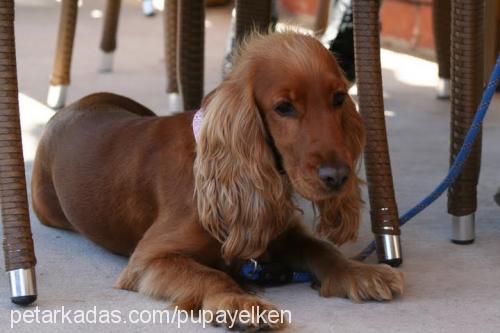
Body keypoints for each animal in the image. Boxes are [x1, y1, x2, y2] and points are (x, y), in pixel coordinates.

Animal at [32, 31, 402, 330]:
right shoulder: (149, 260)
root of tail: (69, 108)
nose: (337, 177)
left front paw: (360, 272)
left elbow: (322, 249)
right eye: (283, 107)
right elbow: (211, 275)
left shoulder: (281, 232)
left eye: (338, 99)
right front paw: (241, 304)